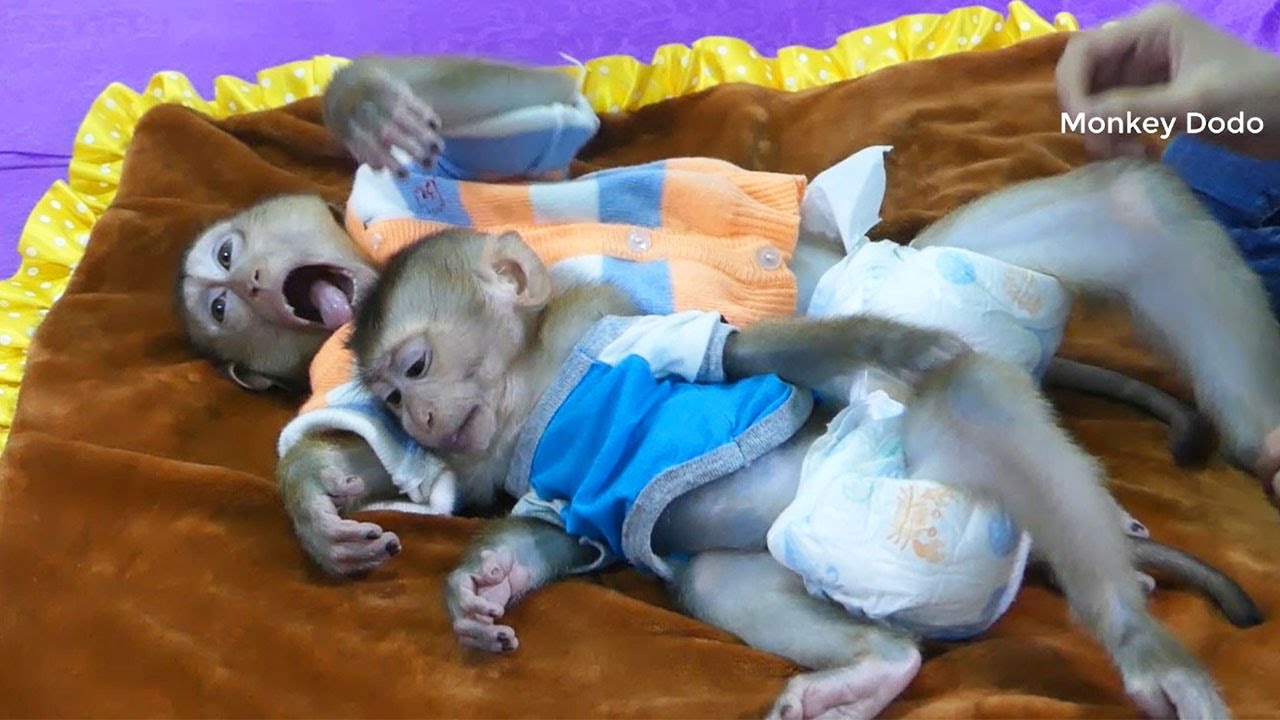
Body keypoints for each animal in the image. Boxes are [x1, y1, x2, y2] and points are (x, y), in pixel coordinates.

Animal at [348, 228, 1253, 720]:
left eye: (416, 369)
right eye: (390, 399)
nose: (419, 421)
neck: (534, 390)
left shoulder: (622, 333)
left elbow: (748, 351)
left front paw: (899, 345)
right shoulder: (549, 490)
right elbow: (561, 535)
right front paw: (481, 587)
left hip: (925, 487)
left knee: (967, 392)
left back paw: (1139, 641)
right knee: (719, 580)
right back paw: (875, 667)